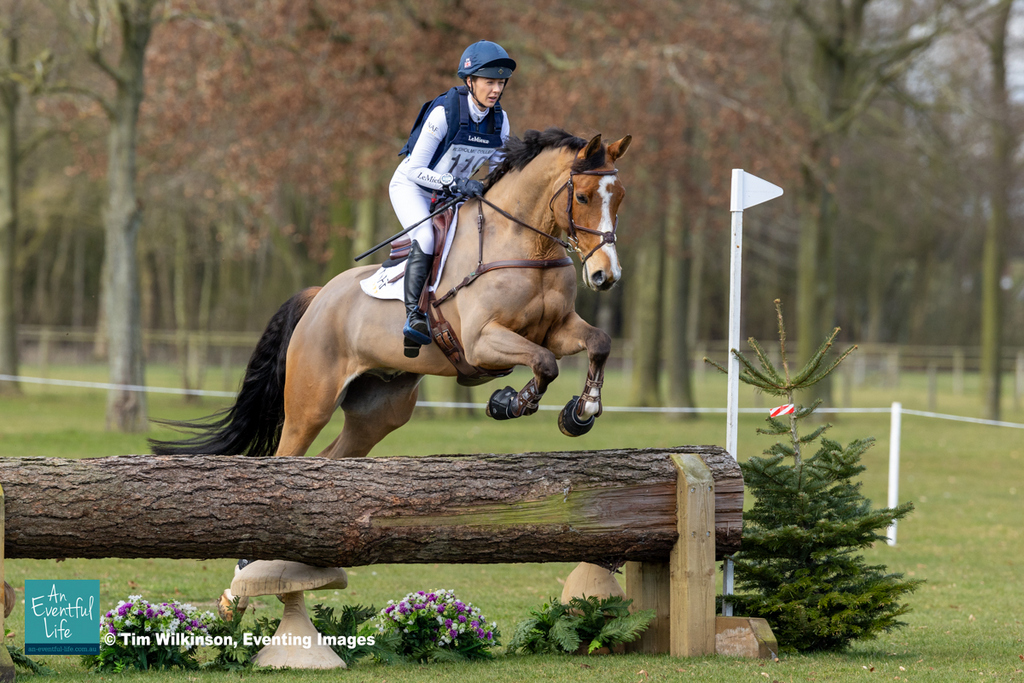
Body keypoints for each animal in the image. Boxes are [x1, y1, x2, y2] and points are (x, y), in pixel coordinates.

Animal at [150, 128, 631, 459]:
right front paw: (510, 402)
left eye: (620, 196)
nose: (606, 276)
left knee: (334, 454)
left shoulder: (556, 328)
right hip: (310, 404)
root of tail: (319, 298)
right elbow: (545, 363)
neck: (526, 244)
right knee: (292, 451)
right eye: (583, 196)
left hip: (380, 410)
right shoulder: (482, 341)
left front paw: (581, 412)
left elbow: (598, 343)